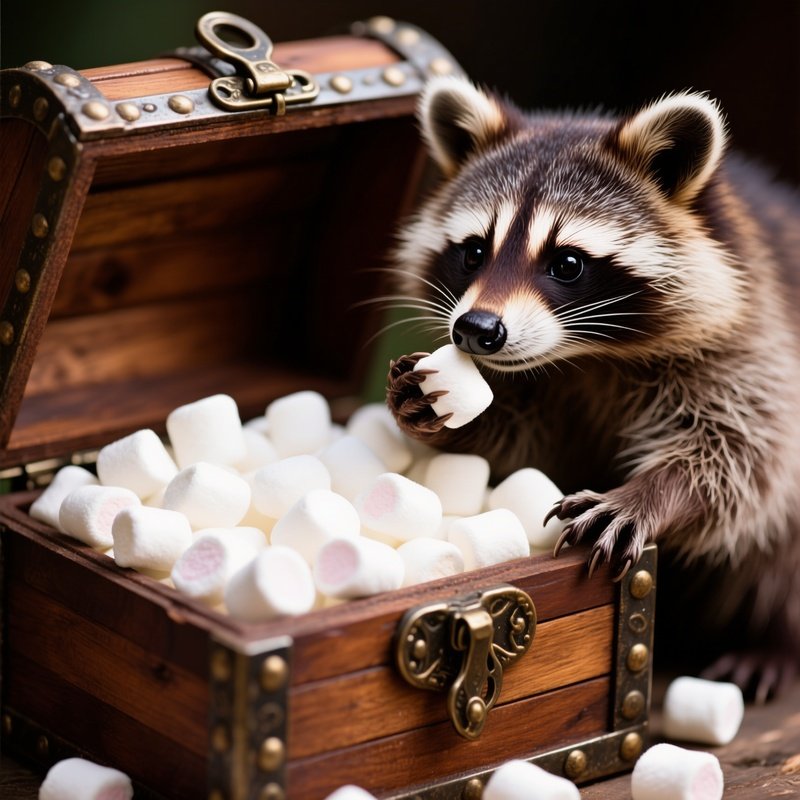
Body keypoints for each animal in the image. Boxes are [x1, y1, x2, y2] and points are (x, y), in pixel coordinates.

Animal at [385, 76, 800, 700]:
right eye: (474, 252)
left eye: (568, 263)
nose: (476, 329)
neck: (584, 358)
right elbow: (526, 444)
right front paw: (448, 417)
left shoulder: (755, 336)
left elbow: (746, 456)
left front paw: (651, 492)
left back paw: (772, 642)